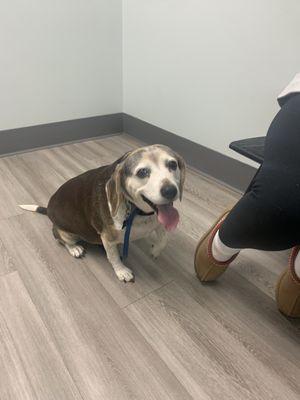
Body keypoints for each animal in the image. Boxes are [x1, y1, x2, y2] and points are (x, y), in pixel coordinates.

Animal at [19, 144, 185, 282]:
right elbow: (113, 257)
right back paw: (74, 248)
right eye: (143, 172)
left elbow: (163, 239)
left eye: (172, 164)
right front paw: (122, 271)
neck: (138, 211)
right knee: (61, 240)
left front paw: (155, 250)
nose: (170, 191)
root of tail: (48, 209)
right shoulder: (108, 237)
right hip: (67, 233)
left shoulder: (158, 222)